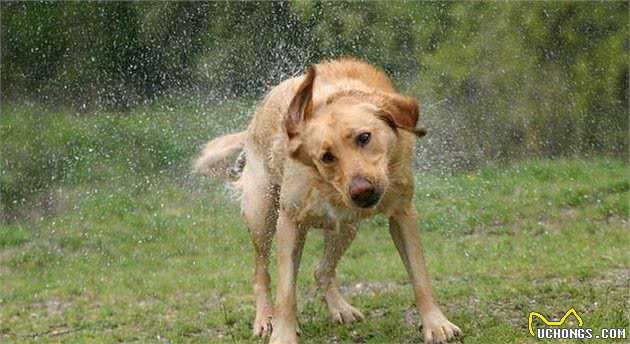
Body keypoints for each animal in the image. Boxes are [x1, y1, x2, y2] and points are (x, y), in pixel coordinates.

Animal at [195, 57, 462, 342]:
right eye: (326, 156)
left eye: (364, 137)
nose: (361, 190)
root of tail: (253, 122)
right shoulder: (290, 220)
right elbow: (286, 291)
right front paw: (283, 334)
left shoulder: (402, 214)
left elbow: (420, 277)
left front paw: (436, 324)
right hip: (262, 215)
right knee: (260, 272)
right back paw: (265, 318)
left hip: (346, 227)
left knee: (321, 269)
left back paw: (339, 308)